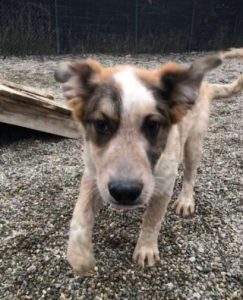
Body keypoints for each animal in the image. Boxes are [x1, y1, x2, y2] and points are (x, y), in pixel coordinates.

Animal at [54, 48, 243, 274]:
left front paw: (145, 249)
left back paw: (186, 200)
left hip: (194, 143)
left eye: (153, 125)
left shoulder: (163, 187)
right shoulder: (93, 174)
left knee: (190, 174)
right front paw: (79, 257)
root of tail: (204, 85)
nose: (124, 192)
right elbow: (79, 216)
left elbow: (152, 220)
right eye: (101, 124)